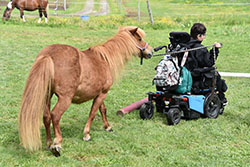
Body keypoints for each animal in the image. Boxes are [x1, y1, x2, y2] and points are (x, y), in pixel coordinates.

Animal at [18, 26, 152, 157]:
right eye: (139, 39)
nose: (151, 51)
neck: (104, 60)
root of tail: (48, 55)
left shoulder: (99, 93)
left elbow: (102, 110)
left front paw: (107, 127)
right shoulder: (103, 93)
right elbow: (92, 113)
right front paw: (86, 134)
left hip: (47, 96)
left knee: (46, 117)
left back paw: (49, 143)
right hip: (65, 99)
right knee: (55, 115)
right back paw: (57, 145)